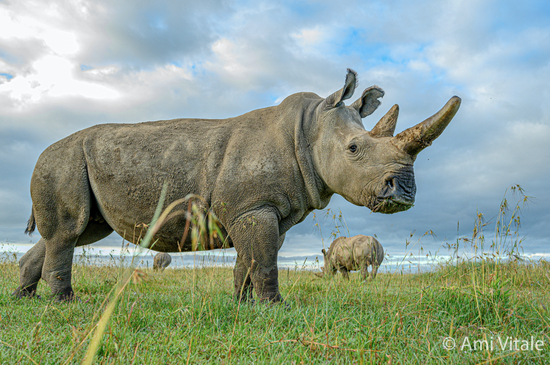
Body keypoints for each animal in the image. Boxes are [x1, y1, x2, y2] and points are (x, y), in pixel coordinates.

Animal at [12, 68, 462, 302]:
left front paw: (243, 305)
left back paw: (25, 298)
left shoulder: (266, 210)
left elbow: (252, 258)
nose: (404, 193)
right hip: (61, 161)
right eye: (354, 148)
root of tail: (43, 153)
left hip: (72, 163)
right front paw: (275, 308)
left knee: (78, 232)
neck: (310, 128)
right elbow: (263, 258)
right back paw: (66, 303)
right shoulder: (254, 206)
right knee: (69, 232)